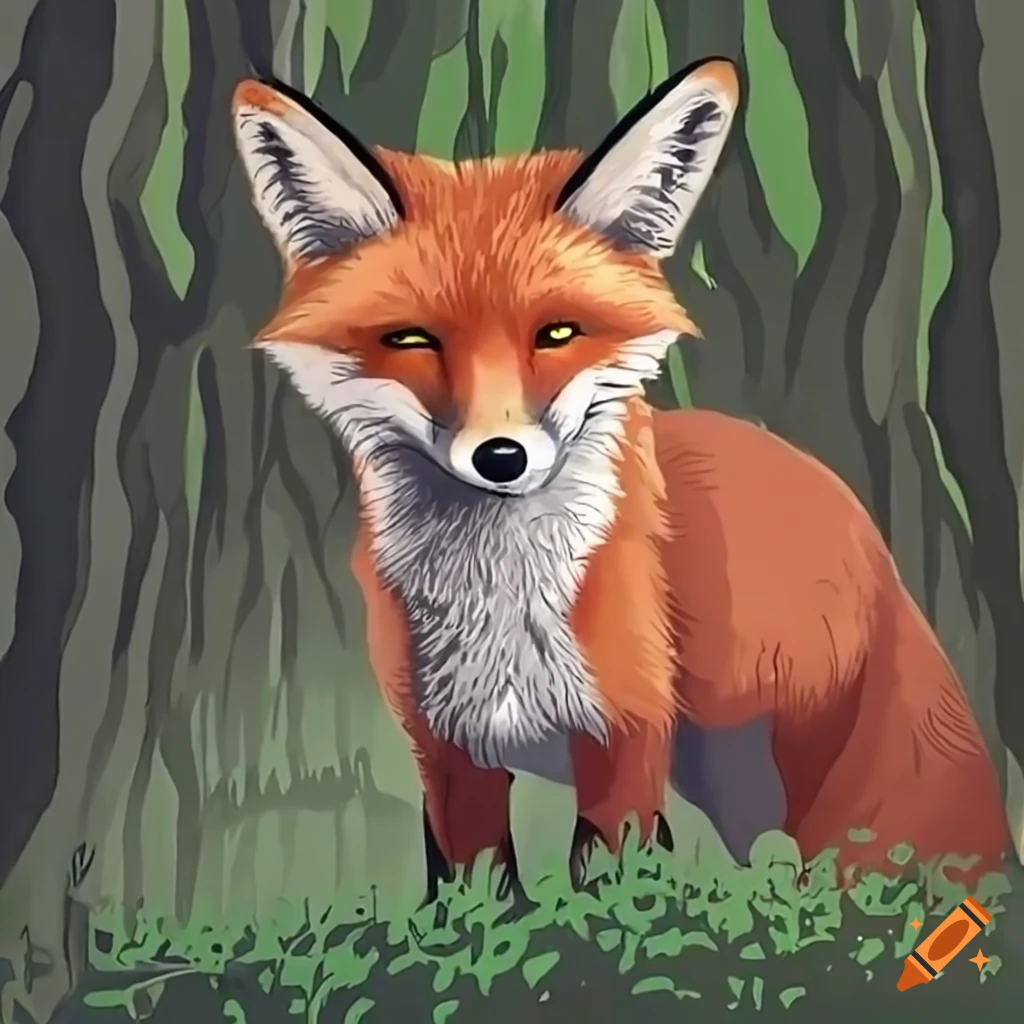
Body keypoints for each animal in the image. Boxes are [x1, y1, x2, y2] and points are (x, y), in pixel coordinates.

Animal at [231, 57, 1011, 900]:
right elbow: (474, 888)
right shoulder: (446, 748)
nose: (500, 457)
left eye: (557, 333)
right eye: (411, 340)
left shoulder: (626, 729)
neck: (499, 601)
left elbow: (612, 877)